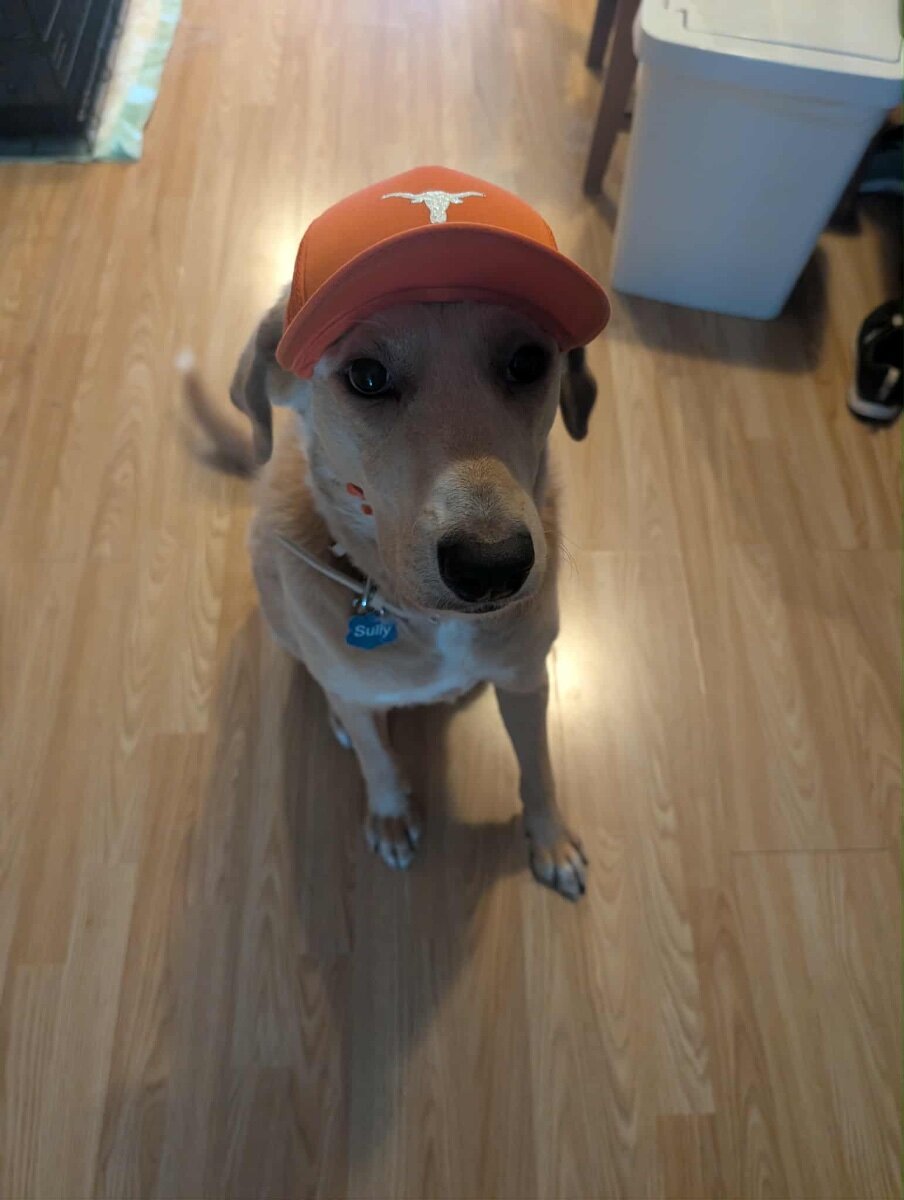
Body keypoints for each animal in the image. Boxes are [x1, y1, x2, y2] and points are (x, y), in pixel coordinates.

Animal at [193, 168, 609, 900]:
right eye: (366, 376)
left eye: (528, 361)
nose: (492, 565)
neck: (425, 620)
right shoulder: (364, 696)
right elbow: (377, 756)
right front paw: (389, 812)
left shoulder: (527, 680)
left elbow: (538, 766)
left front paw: (550, 838)